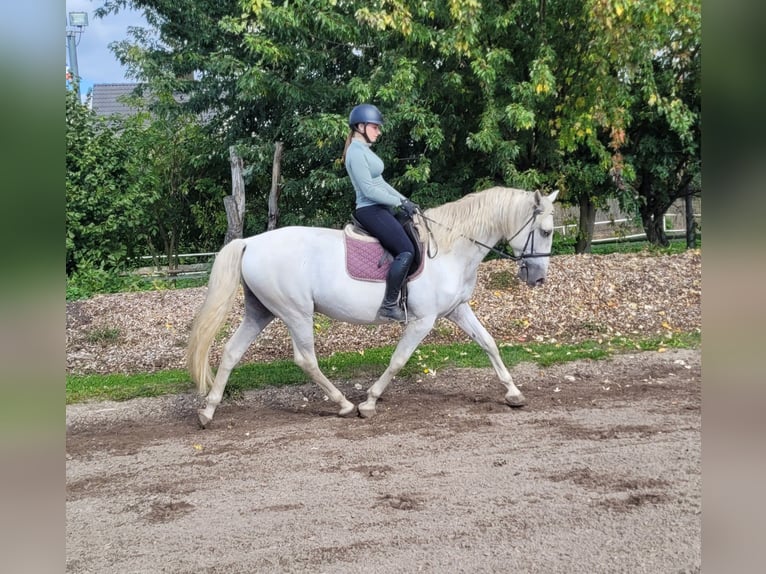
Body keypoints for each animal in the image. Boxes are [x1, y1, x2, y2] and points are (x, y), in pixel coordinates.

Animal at [187, 186, 559, 427]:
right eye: (544, 231)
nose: (539, 277)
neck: (449, 248)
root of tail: (250, 242)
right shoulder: (422, 321)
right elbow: (398, 360)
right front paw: (369, 402)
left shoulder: (457, 309)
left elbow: (489, 343)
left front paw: (513, 393)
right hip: (296, 313)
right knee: (305, 359)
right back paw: (344, 404)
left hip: (260, 312)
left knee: (232, 352)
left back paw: (208, 411)